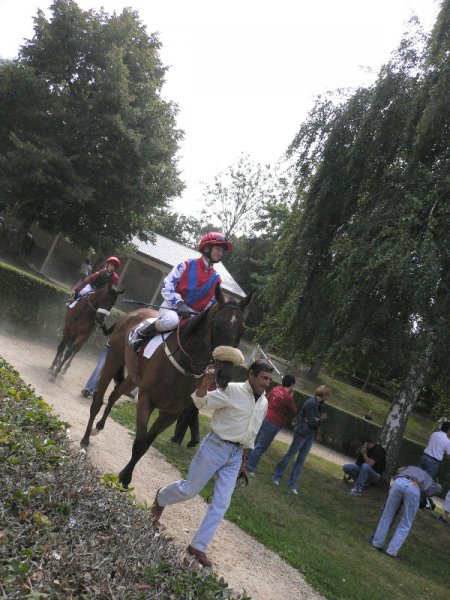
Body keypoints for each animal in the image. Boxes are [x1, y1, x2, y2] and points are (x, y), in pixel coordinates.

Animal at [79, 284, 251, 488]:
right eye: (217, 325)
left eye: (241, 331)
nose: (224, 374)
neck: (183, 361)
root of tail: (130, 314)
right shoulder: (146, 399)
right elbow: (139, 442)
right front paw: (124, 478)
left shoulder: (172, 412)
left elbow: (146, 444)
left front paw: (125, 477)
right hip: (113, 358)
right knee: (98, 401)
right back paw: (84, 441)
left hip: (134, 376)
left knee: (115, 394)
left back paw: (99, 426)